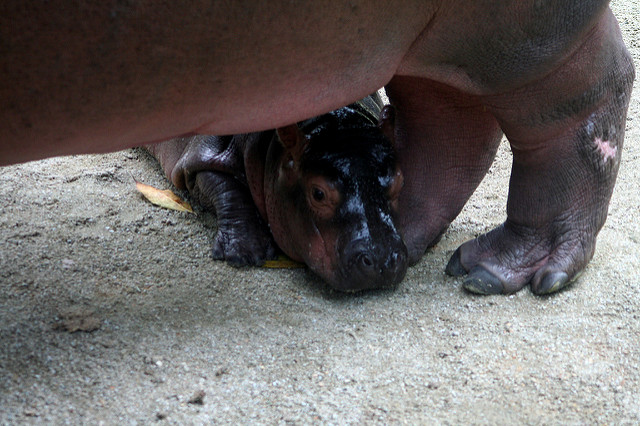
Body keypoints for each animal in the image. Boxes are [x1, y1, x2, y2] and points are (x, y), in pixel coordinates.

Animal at [147, 94, 408, 291]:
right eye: (318, 193)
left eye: (399, 181)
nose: (383, 260)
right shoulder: (195, 160)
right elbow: (225, 187)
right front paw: (246, 253)